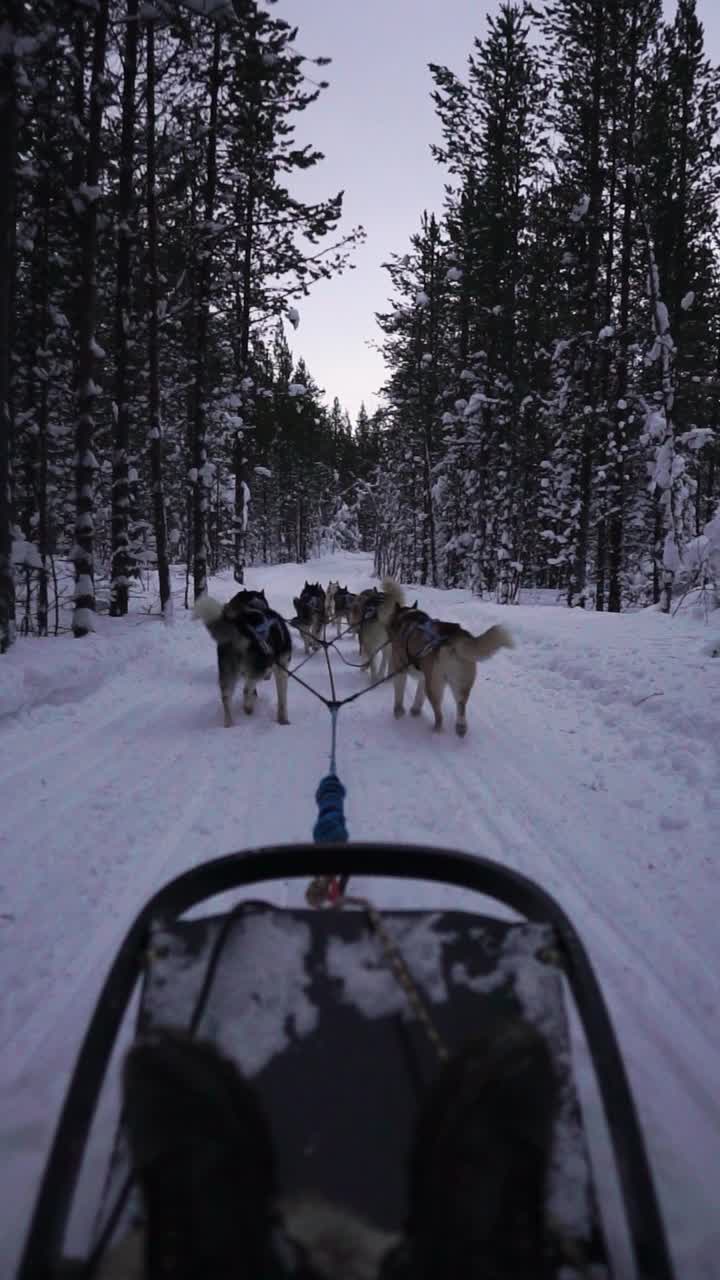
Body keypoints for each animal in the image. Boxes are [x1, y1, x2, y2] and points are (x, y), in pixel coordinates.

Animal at [193, 588, 292, 732]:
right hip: (260, 666)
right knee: (246, 689)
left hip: (228, 672)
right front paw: (283, 721)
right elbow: (282, 700)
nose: (225, 606)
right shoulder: (281, 669)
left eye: (233, 599)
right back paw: (248, 707)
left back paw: (229, 725)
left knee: (226, 698)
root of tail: (244, 628)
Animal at [384, 578, 512, 737]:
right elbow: (419, 697)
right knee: (461, 706)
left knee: (440, 716)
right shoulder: (423, 677)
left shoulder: (400, 670)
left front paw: (399, 712)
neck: (407, 617)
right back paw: (460, 728)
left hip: (434, 687)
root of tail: (454, 636)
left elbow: (399, 694)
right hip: (459, 684)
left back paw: (435, 731)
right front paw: (415, 710)